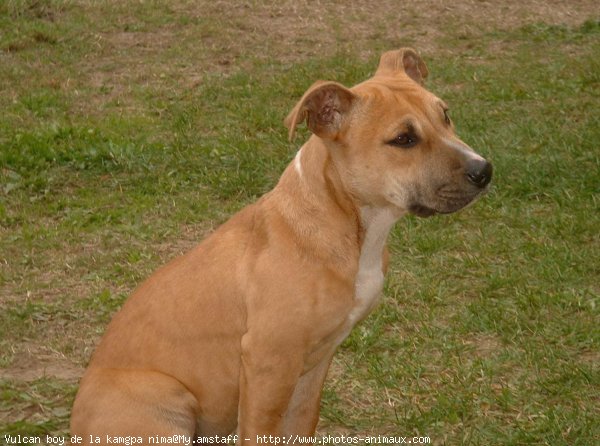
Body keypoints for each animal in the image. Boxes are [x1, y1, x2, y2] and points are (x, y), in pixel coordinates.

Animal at [70, 47, 492, 444]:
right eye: (403, 139)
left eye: (445, 115)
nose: (484, 170)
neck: (347, 224)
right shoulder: (268, 363)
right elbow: (260, 432)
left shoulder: (314, 366)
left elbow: (302, 424)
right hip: (166, 397)